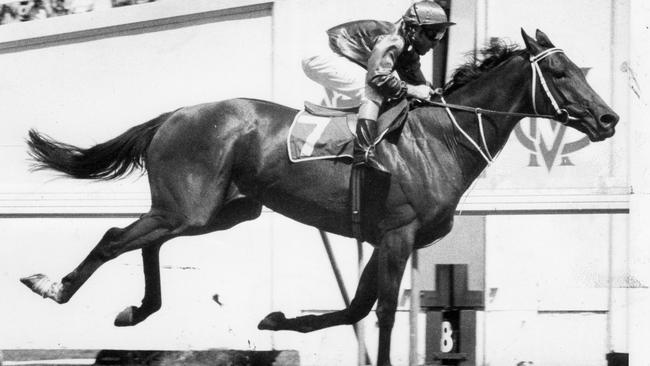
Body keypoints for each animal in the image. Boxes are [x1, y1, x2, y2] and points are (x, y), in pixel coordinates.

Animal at [21, 30, 616, 364]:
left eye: (578, 68)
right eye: (558, 70)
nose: (608, 118)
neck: (440, 139)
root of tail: (175, 115)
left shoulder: (383, 238)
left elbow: (354, 307)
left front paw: (277, 322)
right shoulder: (398, 235)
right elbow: (381, 313)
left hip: (220, 211)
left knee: (144, 240)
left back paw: (136, 311)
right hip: (190, 208)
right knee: (114, 236)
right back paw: (54, 286)